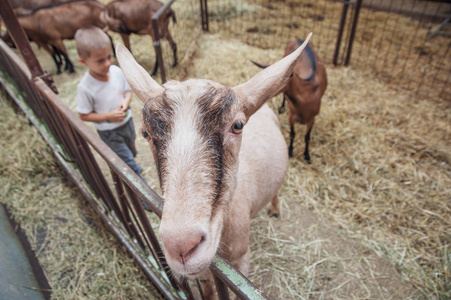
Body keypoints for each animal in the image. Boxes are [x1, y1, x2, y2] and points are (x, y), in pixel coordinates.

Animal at [117, 34, 310, 298]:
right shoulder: (205, 274)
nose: (181, 246)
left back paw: (274, 209)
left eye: (237, 125)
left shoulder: (242, 260)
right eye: (145, 132)